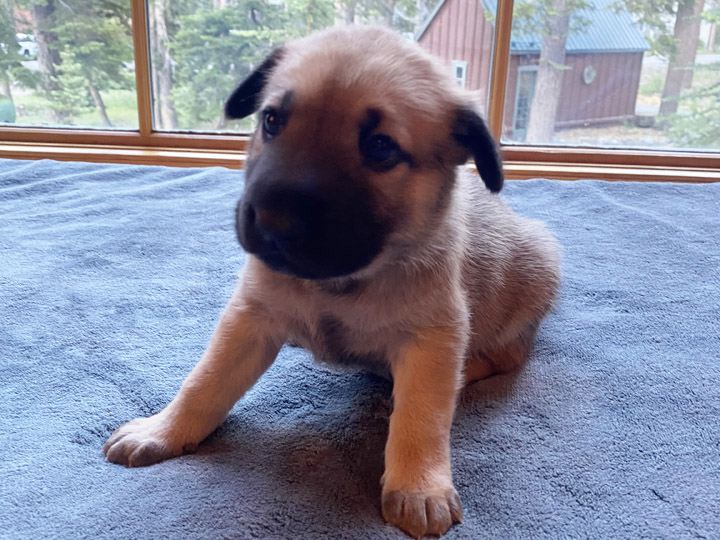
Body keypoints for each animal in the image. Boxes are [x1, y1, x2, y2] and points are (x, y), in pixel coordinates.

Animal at [102, 26, 564, 540]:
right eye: (272, 120)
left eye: (380, 146)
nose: (274, 221)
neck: (339, 283)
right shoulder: (250, 319)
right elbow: (204, 382)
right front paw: (163, 431)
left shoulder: (433, 338)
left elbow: (422, 417)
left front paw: (419, 487)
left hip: (534, 276)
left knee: (504, 357)